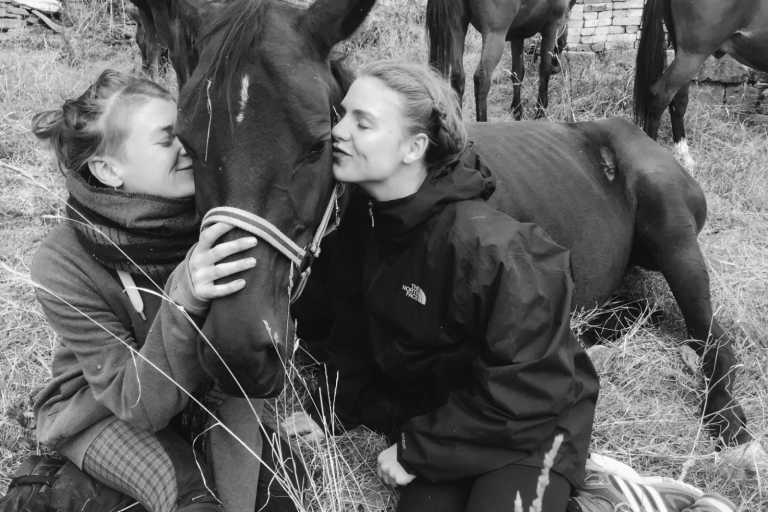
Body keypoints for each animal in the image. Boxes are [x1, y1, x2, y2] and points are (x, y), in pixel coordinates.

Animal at [426, 0, 575, 122]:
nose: (557, 66)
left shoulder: (517, 35)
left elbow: (517, 72)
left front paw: (517, 110)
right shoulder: (552, 27)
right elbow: (544, 70)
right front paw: (540, 111)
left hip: (457, 28)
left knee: (458, 77)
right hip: (495, 33)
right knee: (482, 78)